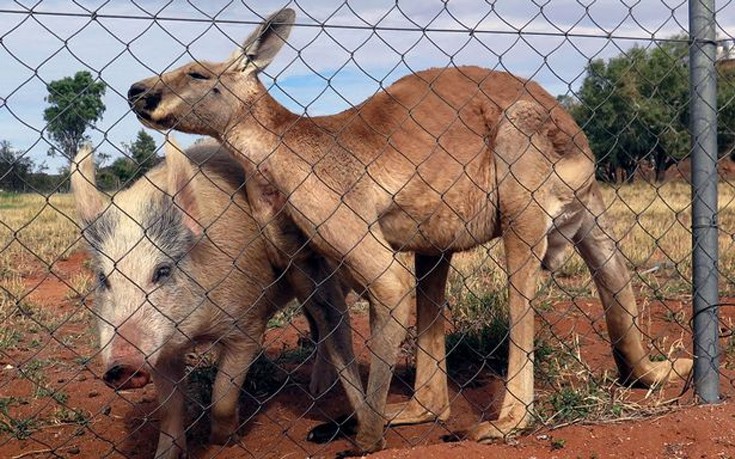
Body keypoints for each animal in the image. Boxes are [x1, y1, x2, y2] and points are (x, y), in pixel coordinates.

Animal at [72, 140, 366, 459]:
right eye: (104, 278)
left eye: (162, 271)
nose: (121, 366)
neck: (198, 331)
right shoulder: (162, 349)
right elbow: (170, 407)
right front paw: (166, 455)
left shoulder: (247, 323)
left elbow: (223, 392)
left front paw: (224, 440)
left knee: (334, 319)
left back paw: (318, 390)